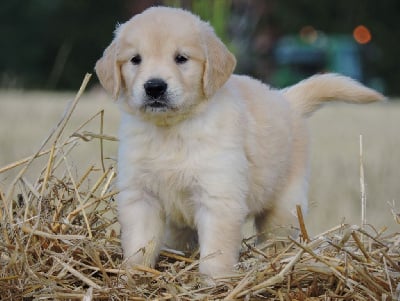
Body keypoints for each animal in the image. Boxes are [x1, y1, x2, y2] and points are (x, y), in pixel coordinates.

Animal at [94, 5, 384, 276]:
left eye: (181, 58)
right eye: (135, 59)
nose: (154, 87)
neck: (172, 130)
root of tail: (285, 98)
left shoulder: (219, 196)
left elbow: (216, 252)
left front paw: (214, 282)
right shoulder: (140, 195)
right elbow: (139, 244)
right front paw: (132, 275)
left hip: (284, 204)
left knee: (277, 235)